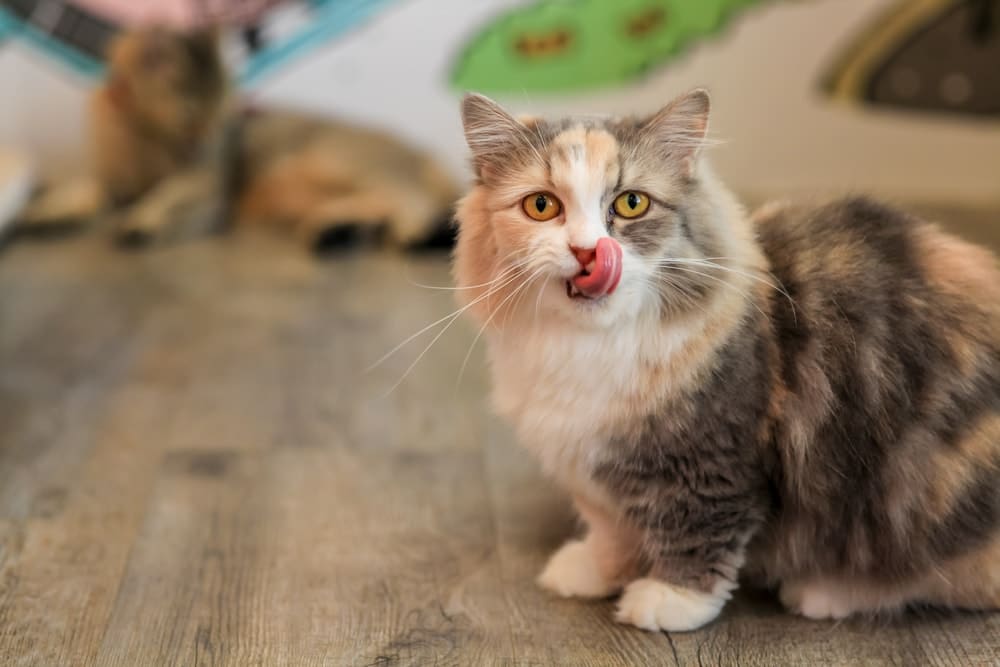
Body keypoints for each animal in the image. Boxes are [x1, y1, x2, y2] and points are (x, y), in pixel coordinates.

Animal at [24, 25, 458, 250]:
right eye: (189, 113)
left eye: (219, 111)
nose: (204, 140)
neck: (141, 135)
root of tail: (423, 151)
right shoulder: (111, 182)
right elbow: (81, 190)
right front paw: (44, 211)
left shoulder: (207, 191)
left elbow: (167, 194)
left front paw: (143, 218)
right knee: (378, 204)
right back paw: (338, 231)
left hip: (333, 158)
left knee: (412, 200)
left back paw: (414, 234)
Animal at [452, 87, 1000, 632]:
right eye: (542, 206)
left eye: (631, 203)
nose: (589, 252)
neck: (590, 346)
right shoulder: (595, 471)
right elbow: (612, 531)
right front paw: (593, 571)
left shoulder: (711, 461)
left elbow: (696, 532)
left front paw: (669, 601)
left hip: (919, 498)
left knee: (935, 578)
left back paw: (827, 592)